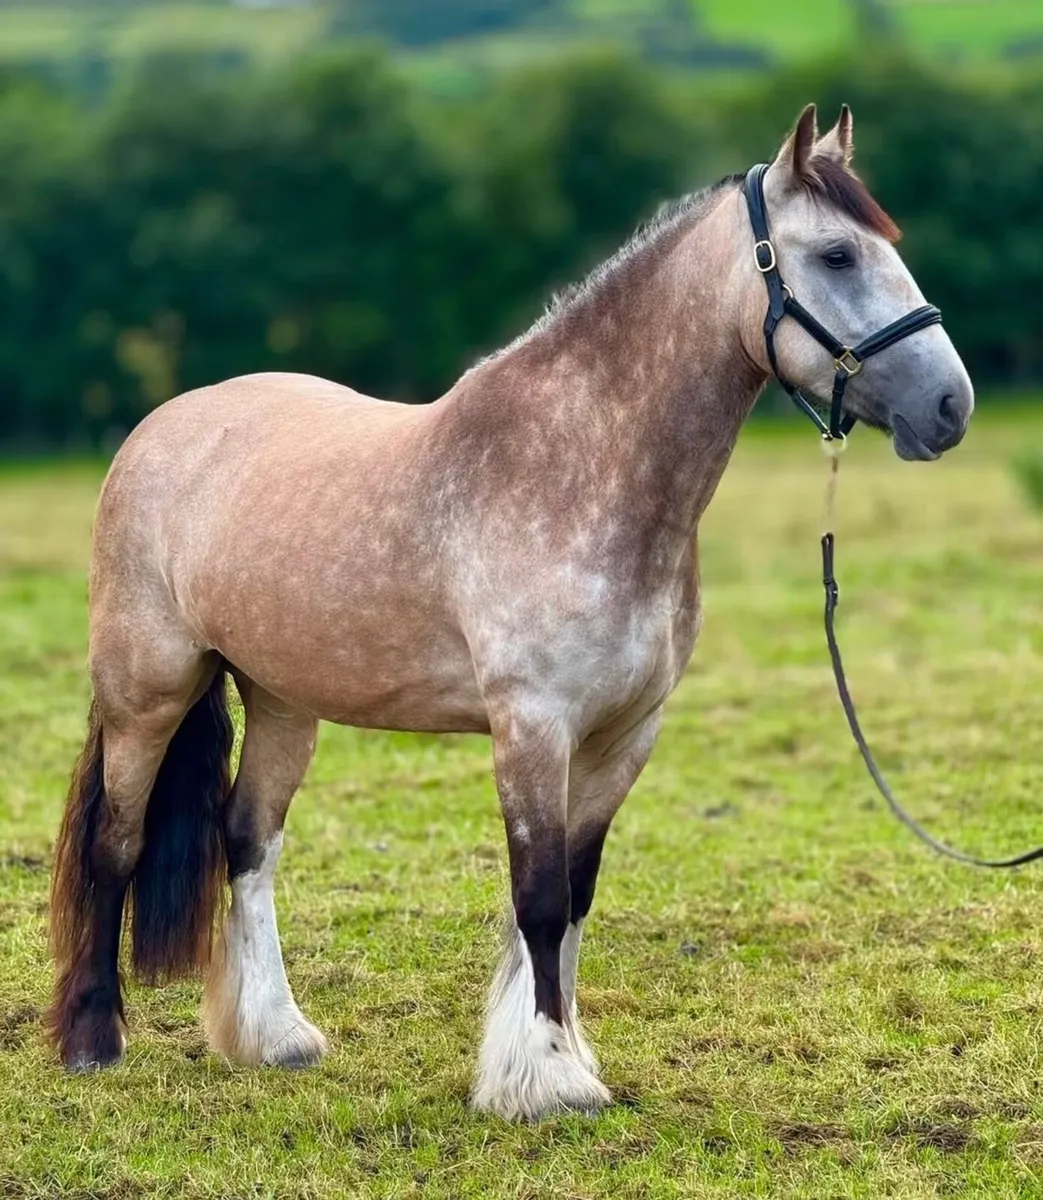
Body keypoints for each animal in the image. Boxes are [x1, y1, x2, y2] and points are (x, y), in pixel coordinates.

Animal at [46, 103, 973, 1121]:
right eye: (838, 254)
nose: (949, 405)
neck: (581, 470)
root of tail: (162, 427)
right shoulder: (532, 727)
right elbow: (537, 896)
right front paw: (547, 1077)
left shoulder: (624, 734)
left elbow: (574, 894)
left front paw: (555, 1056)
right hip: (147, 692)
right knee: (116, 843)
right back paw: (93, 1041)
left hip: (284, 700)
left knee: (246, 843)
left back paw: (276, 1038)